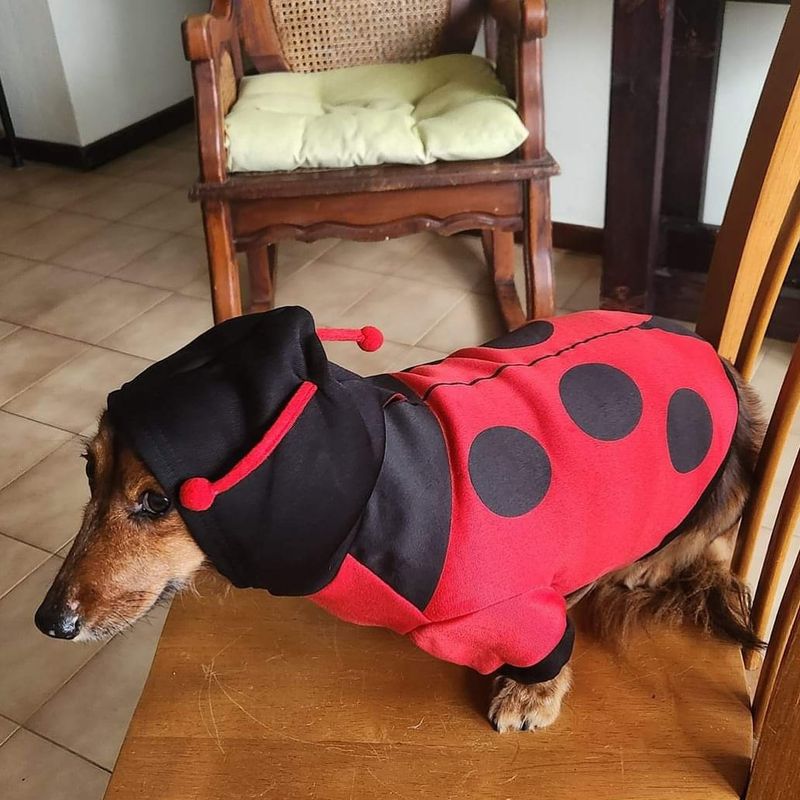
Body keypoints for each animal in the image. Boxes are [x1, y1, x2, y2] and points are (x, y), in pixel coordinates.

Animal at [36, 310, 764, 736]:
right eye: (87, 471)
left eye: (157, 502)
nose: (48, 623)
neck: (370, 490)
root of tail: (712, 349)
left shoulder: (517, 607)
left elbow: (545, 647)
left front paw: (532, 694)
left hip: (725, 480)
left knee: (705, 538)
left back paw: (643, 564)